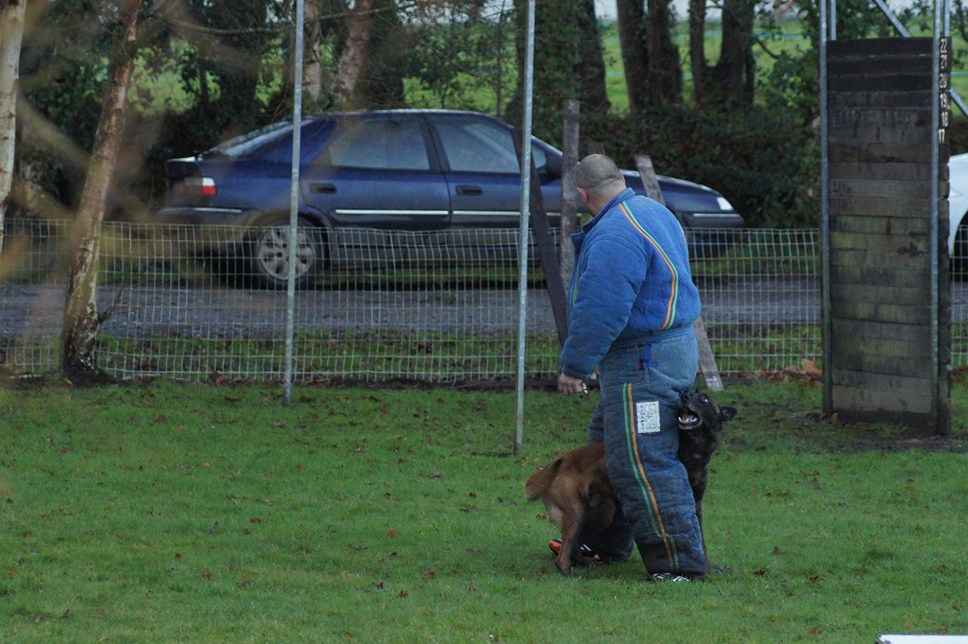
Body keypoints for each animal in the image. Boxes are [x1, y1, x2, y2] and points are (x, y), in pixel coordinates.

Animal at [524, 390, 736, 576]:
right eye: (693, 394)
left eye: (704, 399)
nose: (684, 396)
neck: (692, 451)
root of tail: (562, 460)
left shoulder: (696, 506)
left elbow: (701, 541)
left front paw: (708, 568)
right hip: (576, 512)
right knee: (563, 554)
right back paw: (569, 572)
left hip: (602, 513)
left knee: (574, 546)